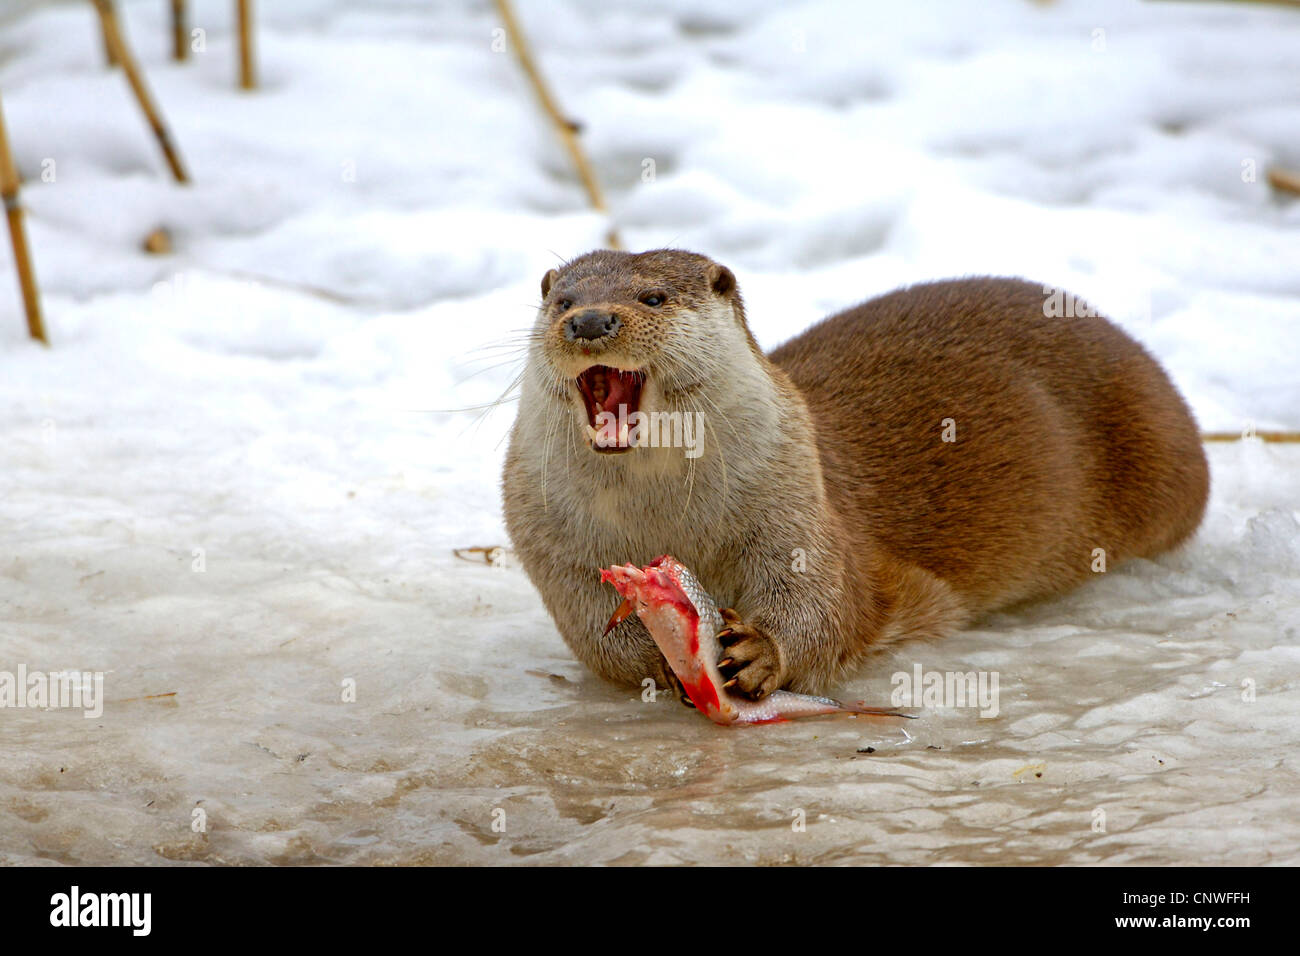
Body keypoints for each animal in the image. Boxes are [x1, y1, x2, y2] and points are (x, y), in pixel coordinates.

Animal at [501, 251, 1211, 702]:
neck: (672, 519)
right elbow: (597, 637)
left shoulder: (798, 501)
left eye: (653, 296)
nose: (589, 321)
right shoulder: (551, 545)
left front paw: (759, 652)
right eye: (562, 299)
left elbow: (829, 603)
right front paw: (661, 657)